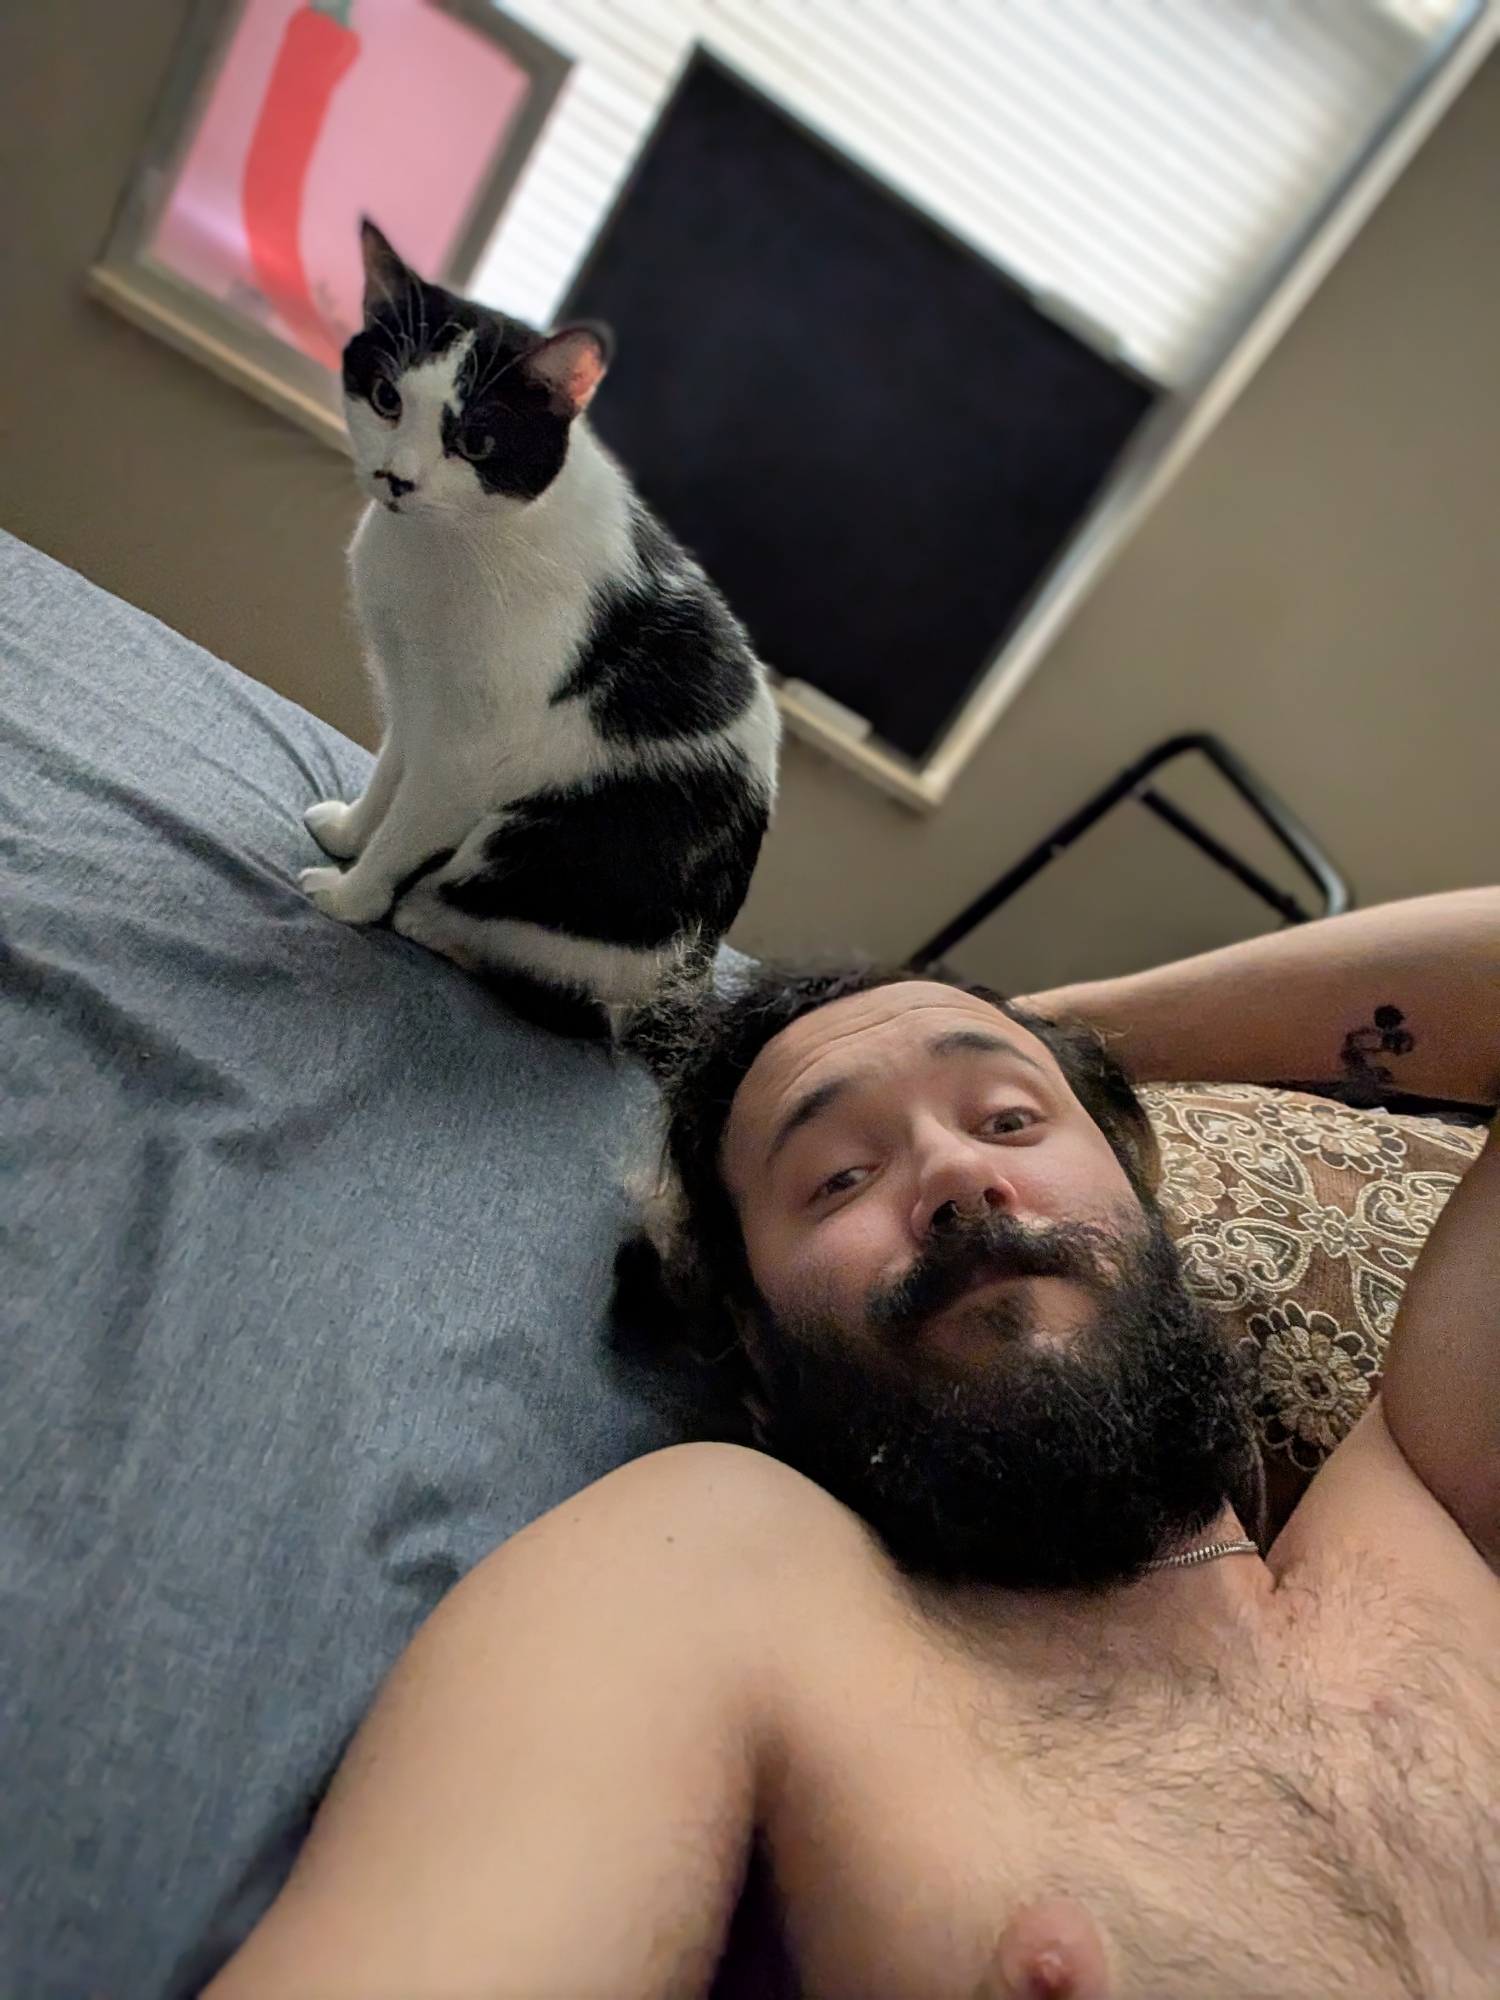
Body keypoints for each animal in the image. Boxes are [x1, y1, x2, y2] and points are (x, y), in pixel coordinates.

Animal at [301, 221, 780, 1039]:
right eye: (387, 398)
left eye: (476, 442)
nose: (397, 479)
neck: (441, 546)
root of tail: (682, 985)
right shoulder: (416, 698)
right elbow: (390, 772)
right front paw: (349, 835)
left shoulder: (469, 752)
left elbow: (410, 823)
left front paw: (353, 896)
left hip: (533, 840)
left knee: (547, 979)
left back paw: (425, 919)